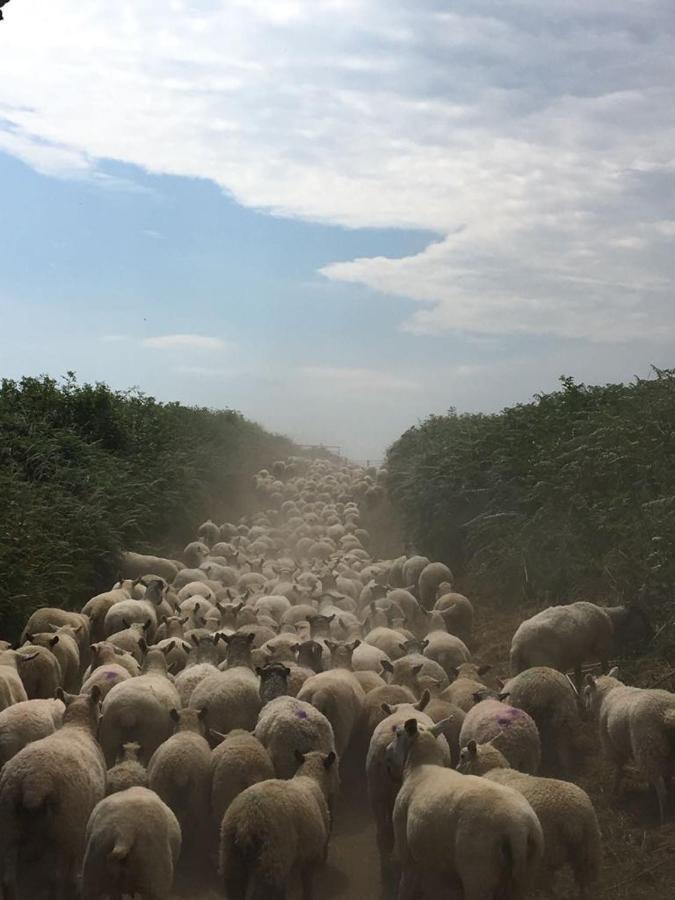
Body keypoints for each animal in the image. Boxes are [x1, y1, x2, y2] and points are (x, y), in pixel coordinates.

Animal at [0, 684, 106, 896]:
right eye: (99, 704)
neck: (77, 726)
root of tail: (33, 784)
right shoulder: (78, 832)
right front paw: (75, 883)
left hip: (8, 825)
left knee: (8, 880)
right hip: (62, 831)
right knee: (56, 878)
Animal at [220, 744, 338, 900]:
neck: (311, 778)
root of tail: (247, 820)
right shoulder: (311, 856)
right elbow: (308, 887)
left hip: (232, 859)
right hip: (272, 862)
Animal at [386, 716, 544, 900]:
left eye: (398, 734)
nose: (387, 753)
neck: (420, 766)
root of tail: (518, 828)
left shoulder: (408, 856)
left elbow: (406, 887)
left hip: (478, 873)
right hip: (525, 876)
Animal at [460, 740, 604, 900]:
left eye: (462, 756)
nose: (456, 768)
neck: (493, 770)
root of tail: (573, 819)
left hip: (545, 855)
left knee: (548, 890)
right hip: (589, 850)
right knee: (585, 885)